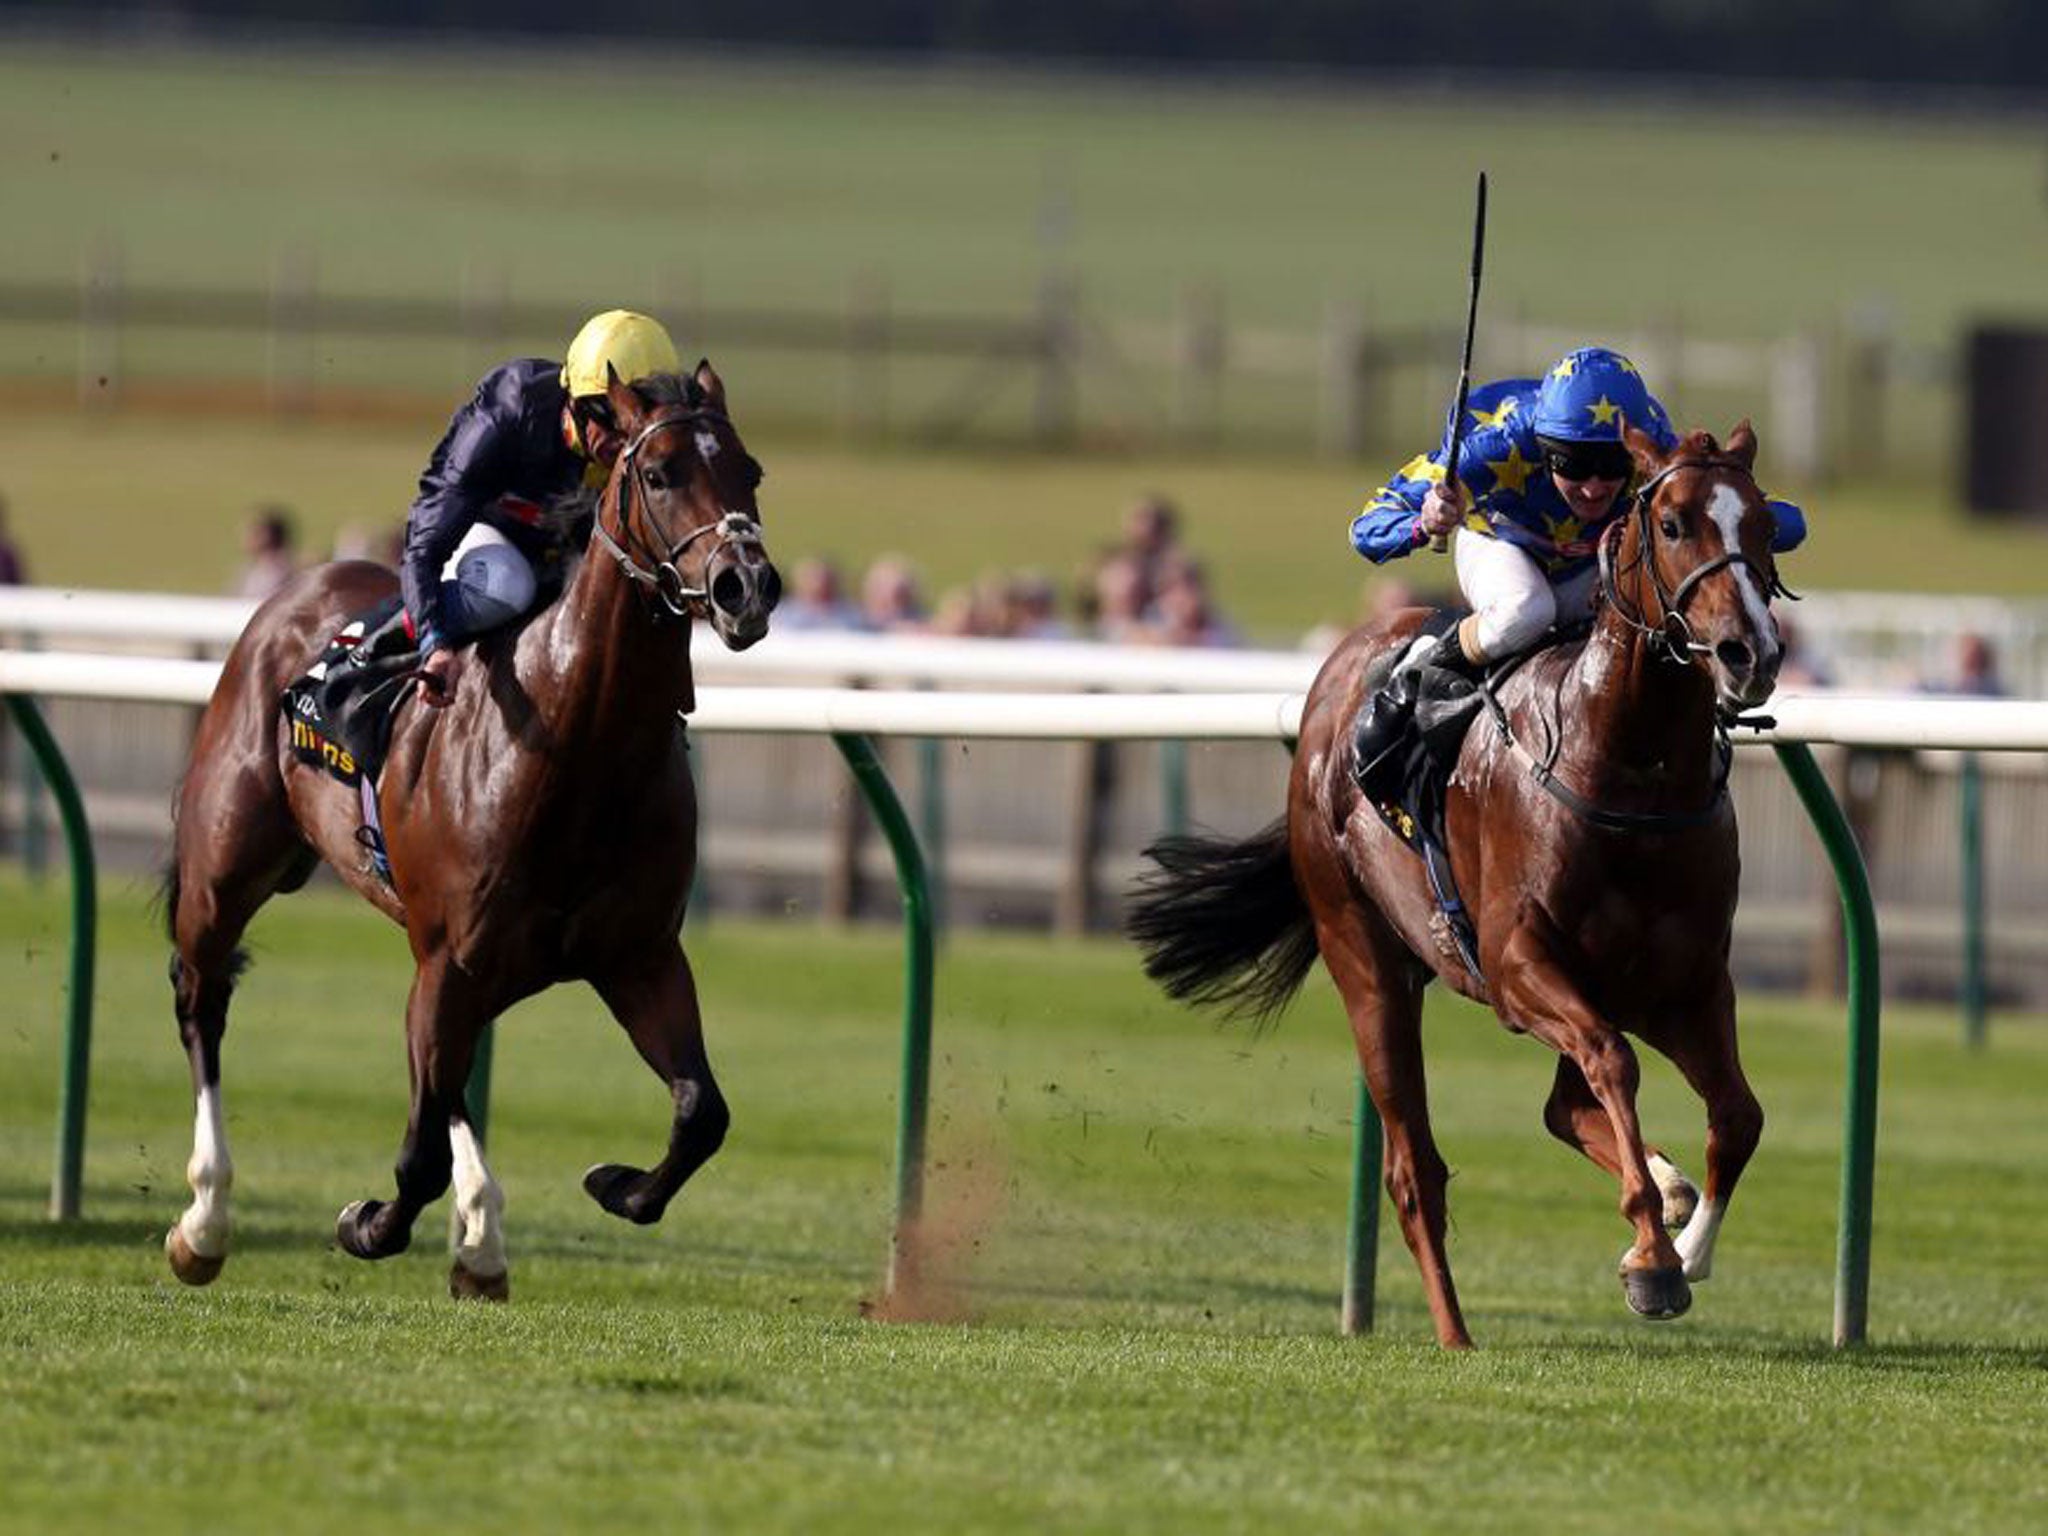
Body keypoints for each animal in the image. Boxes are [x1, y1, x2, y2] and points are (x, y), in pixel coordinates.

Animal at [159, 360, 778, 1302]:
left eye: (750, 472)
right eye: (660, 473)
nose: (749, 584)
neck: (580, 744)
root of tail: (296, 589)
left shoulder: (636, 955)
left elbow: (701, 1109)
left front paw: (616, 1185)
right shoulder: (450, 957)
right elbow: (415, 1157)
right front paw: (366, 1223)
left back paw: (481, 1237)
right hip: (226, 869)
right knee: (203, 996)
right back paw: (205, 1221)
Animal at [1130, 421, 1785, 1343]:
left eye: (1764, 524)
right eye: (1673, 524)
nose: (1748, 652)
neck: (1629, 770)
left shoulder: (1685, 981)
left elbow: (1736, 1115)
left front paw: (1682, 1247)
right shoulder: (1519, 968)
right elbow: (1615, 1064)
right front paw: (1655, 1260)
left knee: (1564, 1108)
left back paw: (1664, 1192)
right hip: (1365, 957)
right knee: (1417, 1171)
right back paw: (1456, 1333)